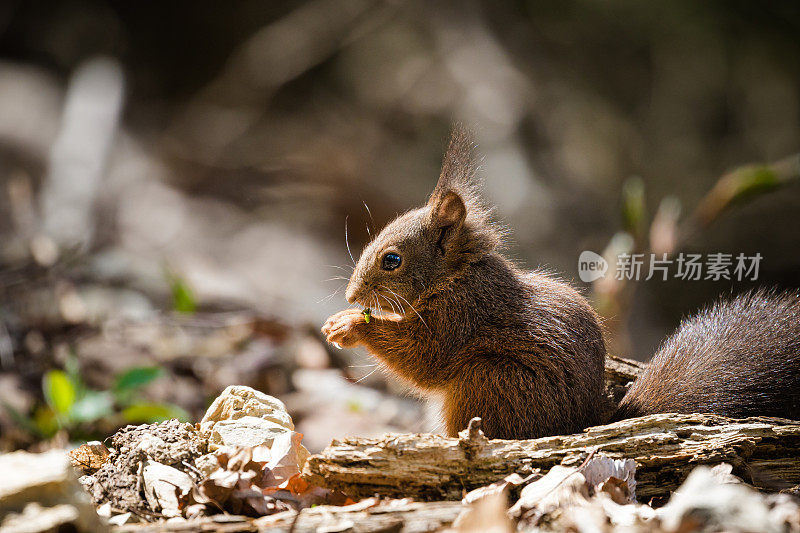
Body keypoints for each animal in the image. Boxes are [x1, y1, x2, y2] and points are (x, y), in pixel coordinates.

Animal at [320, 127, 800, 438]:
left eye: (392, 260)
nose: (351, 295)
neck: (457, 276)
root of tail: (583, 422)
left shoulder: (461, 317)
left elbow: (423, 359)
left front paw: (349, 324)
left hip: (488, 381)